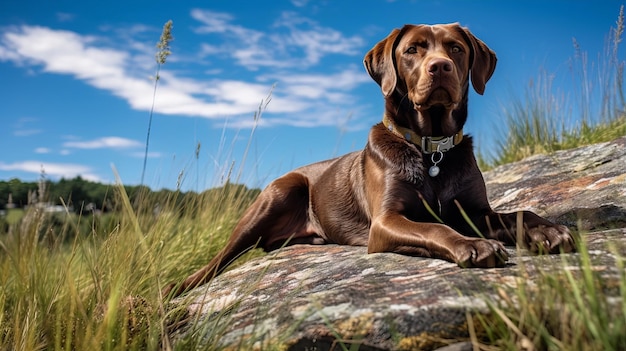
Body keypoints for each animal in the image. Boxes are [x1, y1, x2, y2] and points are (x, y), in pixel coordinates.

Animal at [163, 22, 572, 298]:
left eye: (456, 48)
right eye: (413, 50)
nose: (439, 66)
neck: (430, 148)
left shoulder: (473, 209)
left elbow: (519, 213)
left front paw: (548, 230)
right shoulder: (386, 222)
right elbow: (435, 228)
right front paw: (473, 245)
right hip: (278, 193)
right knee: (220, 258)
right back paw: (178, 288)